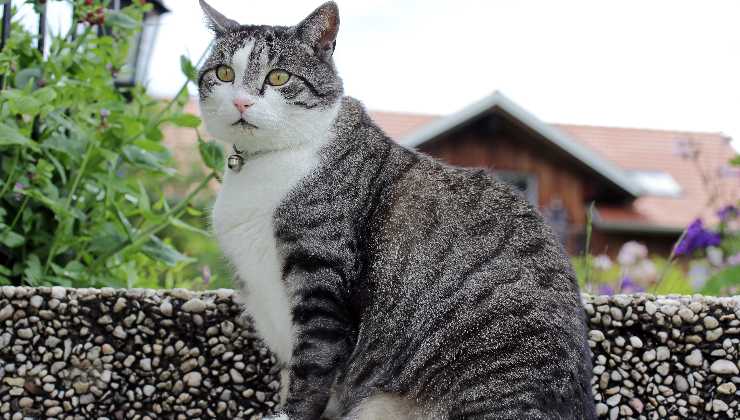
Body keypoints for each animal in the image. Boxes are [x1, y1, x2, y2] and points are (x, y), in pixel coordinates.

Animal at [197, 1, 596, 418]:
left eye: (277, 77)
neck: (262, 163)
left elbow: (311, 372)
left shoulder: (322, 285)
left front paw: (287, 411)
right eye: (224, 74)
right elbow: (293, 375)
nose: (241, 101)